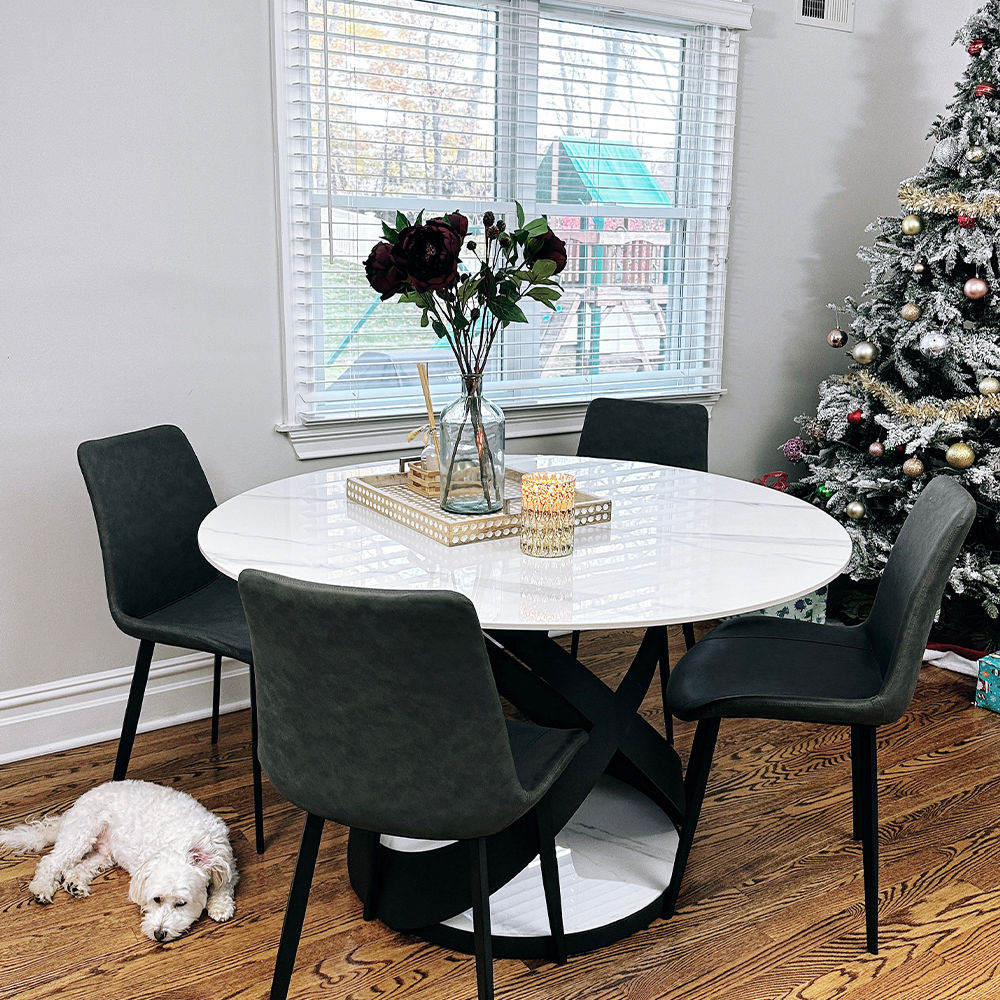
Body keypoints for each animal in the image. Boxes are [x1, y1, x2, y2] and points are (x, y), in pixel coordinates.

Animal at [0, 776, 238, 940]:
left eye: (181, 904)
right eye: (156, 899)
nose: (158, 934)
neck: (186, 845)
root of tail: (75, 806)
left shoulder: (226, 861)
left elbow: (224, 884)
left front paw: (220, 905)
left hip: (104, 853)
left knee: (78, 868)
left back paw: (75, 885)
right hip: (82, 833)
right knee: (52, 862)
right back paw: (42, 888)